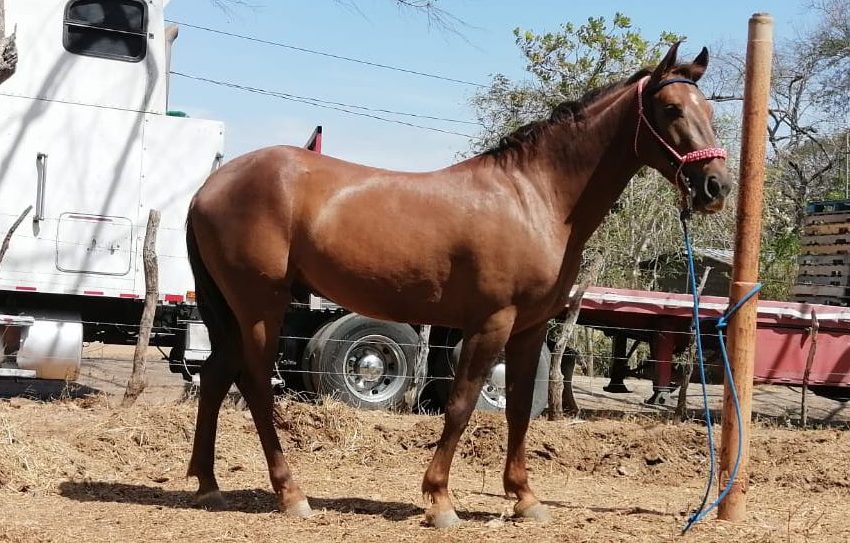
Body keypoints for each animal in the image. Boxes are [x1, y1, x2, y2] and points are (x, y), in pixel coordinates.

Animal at [184, 44, 728, 528]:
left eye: (708, 110)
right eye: (671, 108)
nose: (716, 186)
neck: (535, 198)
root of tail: (209, 187)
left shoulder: (530, 328)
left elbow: (517, 410)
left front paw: (525, 499)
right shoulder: (491, 323)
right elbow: (462, 405)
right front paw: (440, 500)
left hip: (232, 310)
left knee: (214, 375)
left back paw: (208, 486)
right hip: (261, 306)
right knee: (255, 384)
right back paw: (291, 494)